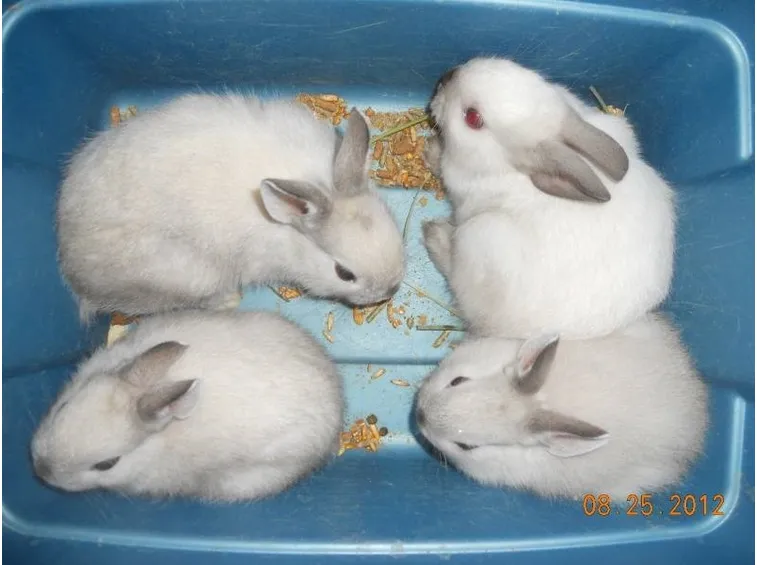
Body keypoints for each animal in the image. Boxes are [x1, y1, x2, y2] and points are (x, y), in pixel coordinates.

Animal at [56, 93, 406, 320]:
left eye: (395, 228)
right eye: (344, 273)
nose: (388, 291)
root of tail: (70, 259)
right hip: (190, 276)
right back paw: (229, 301)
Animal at [422, 57, 675, 340]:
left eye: (473, 118)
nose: (445, 77)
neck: (509, 167)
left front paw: (431, 152)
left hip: (477, 237)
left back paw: (433, 232)